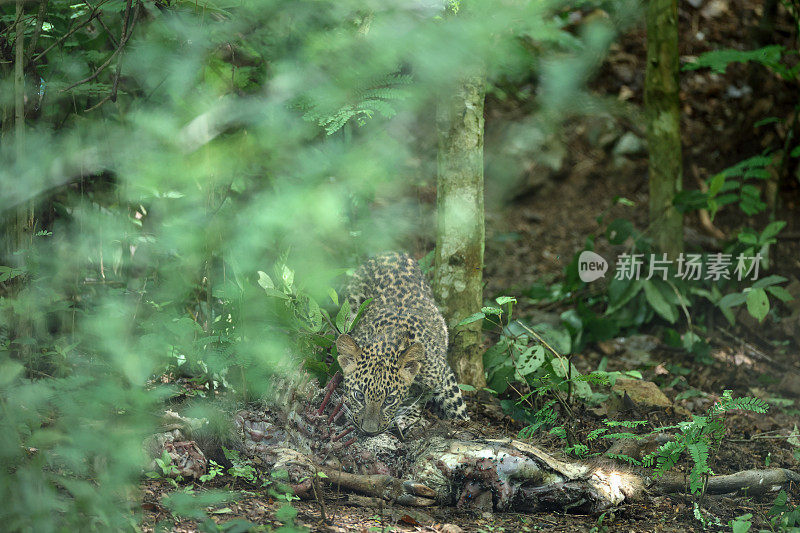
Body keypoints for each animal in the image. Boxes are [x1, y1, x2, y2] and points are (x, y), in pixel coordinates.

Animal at [332, 251, 468, 434]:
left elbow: (450, 403)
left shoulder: (441, 375)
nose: (369, 431)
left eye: (389, 400)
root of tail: (389, 253)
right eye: (359, 396)